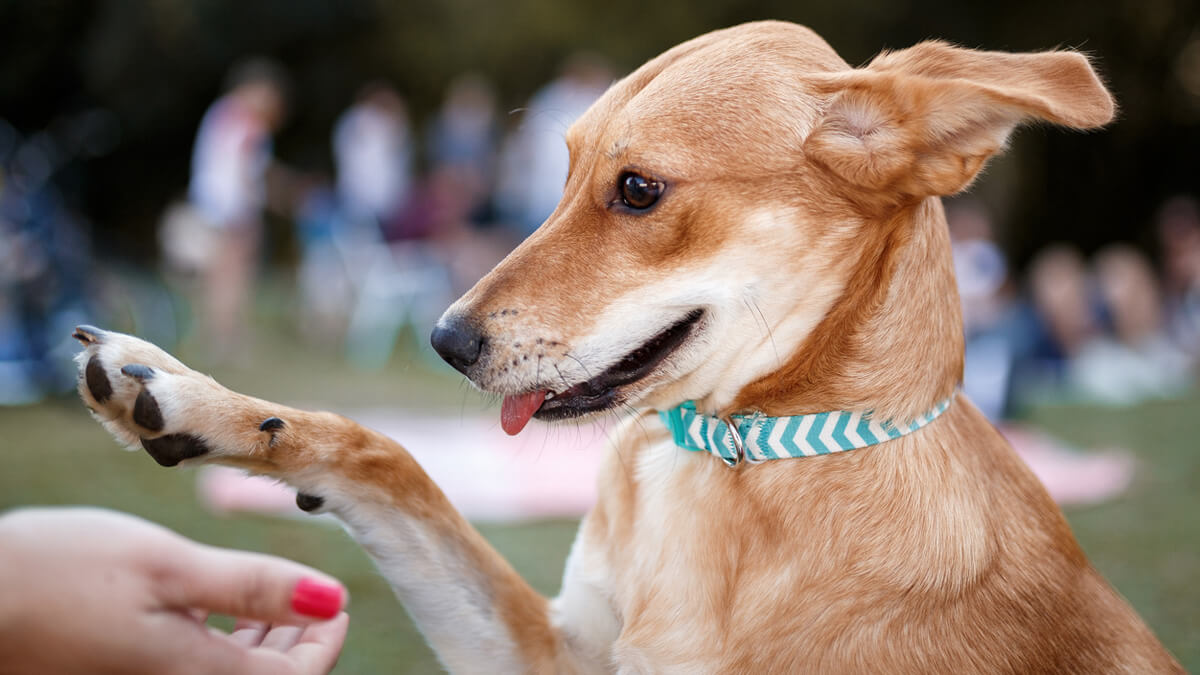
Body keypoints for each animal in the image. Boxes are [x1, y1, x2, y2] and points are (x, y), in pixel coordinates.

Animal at [77, 21, 1180, 672]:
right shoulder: (554, 651)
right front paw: (200, 405)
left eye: (640, 189)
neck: (733, 470)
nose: (443, 340)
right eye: (562, 169)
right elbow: (387, 459)